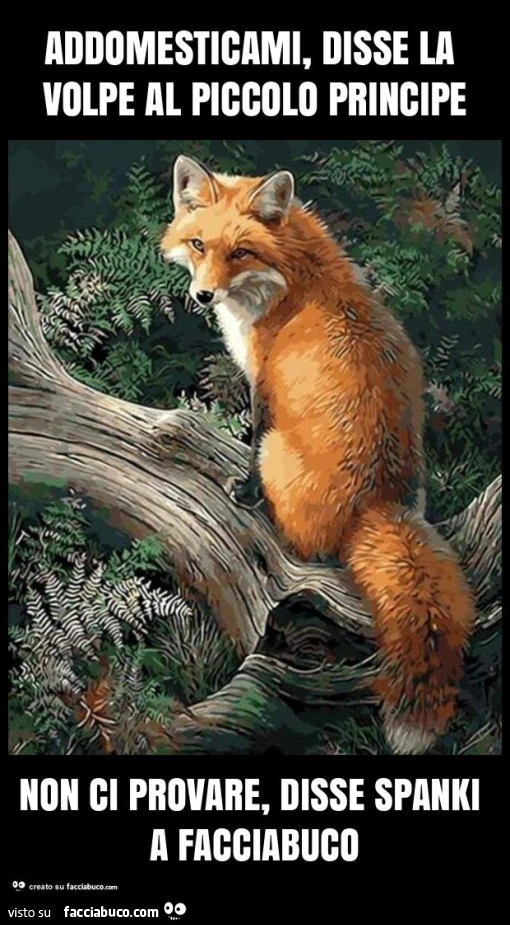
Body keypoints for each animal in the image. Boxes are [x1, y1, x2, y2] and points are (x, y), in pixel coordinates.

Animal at [161, 154, 475, 755]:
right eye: (198, 245)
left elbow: (251, 438)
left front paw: (243, 490)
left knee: (300, 539)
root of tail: (378, 504)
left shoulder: (263, 383)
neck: (294, 276)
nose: (203, 297)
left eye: (240, 252)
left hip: (280, 454)